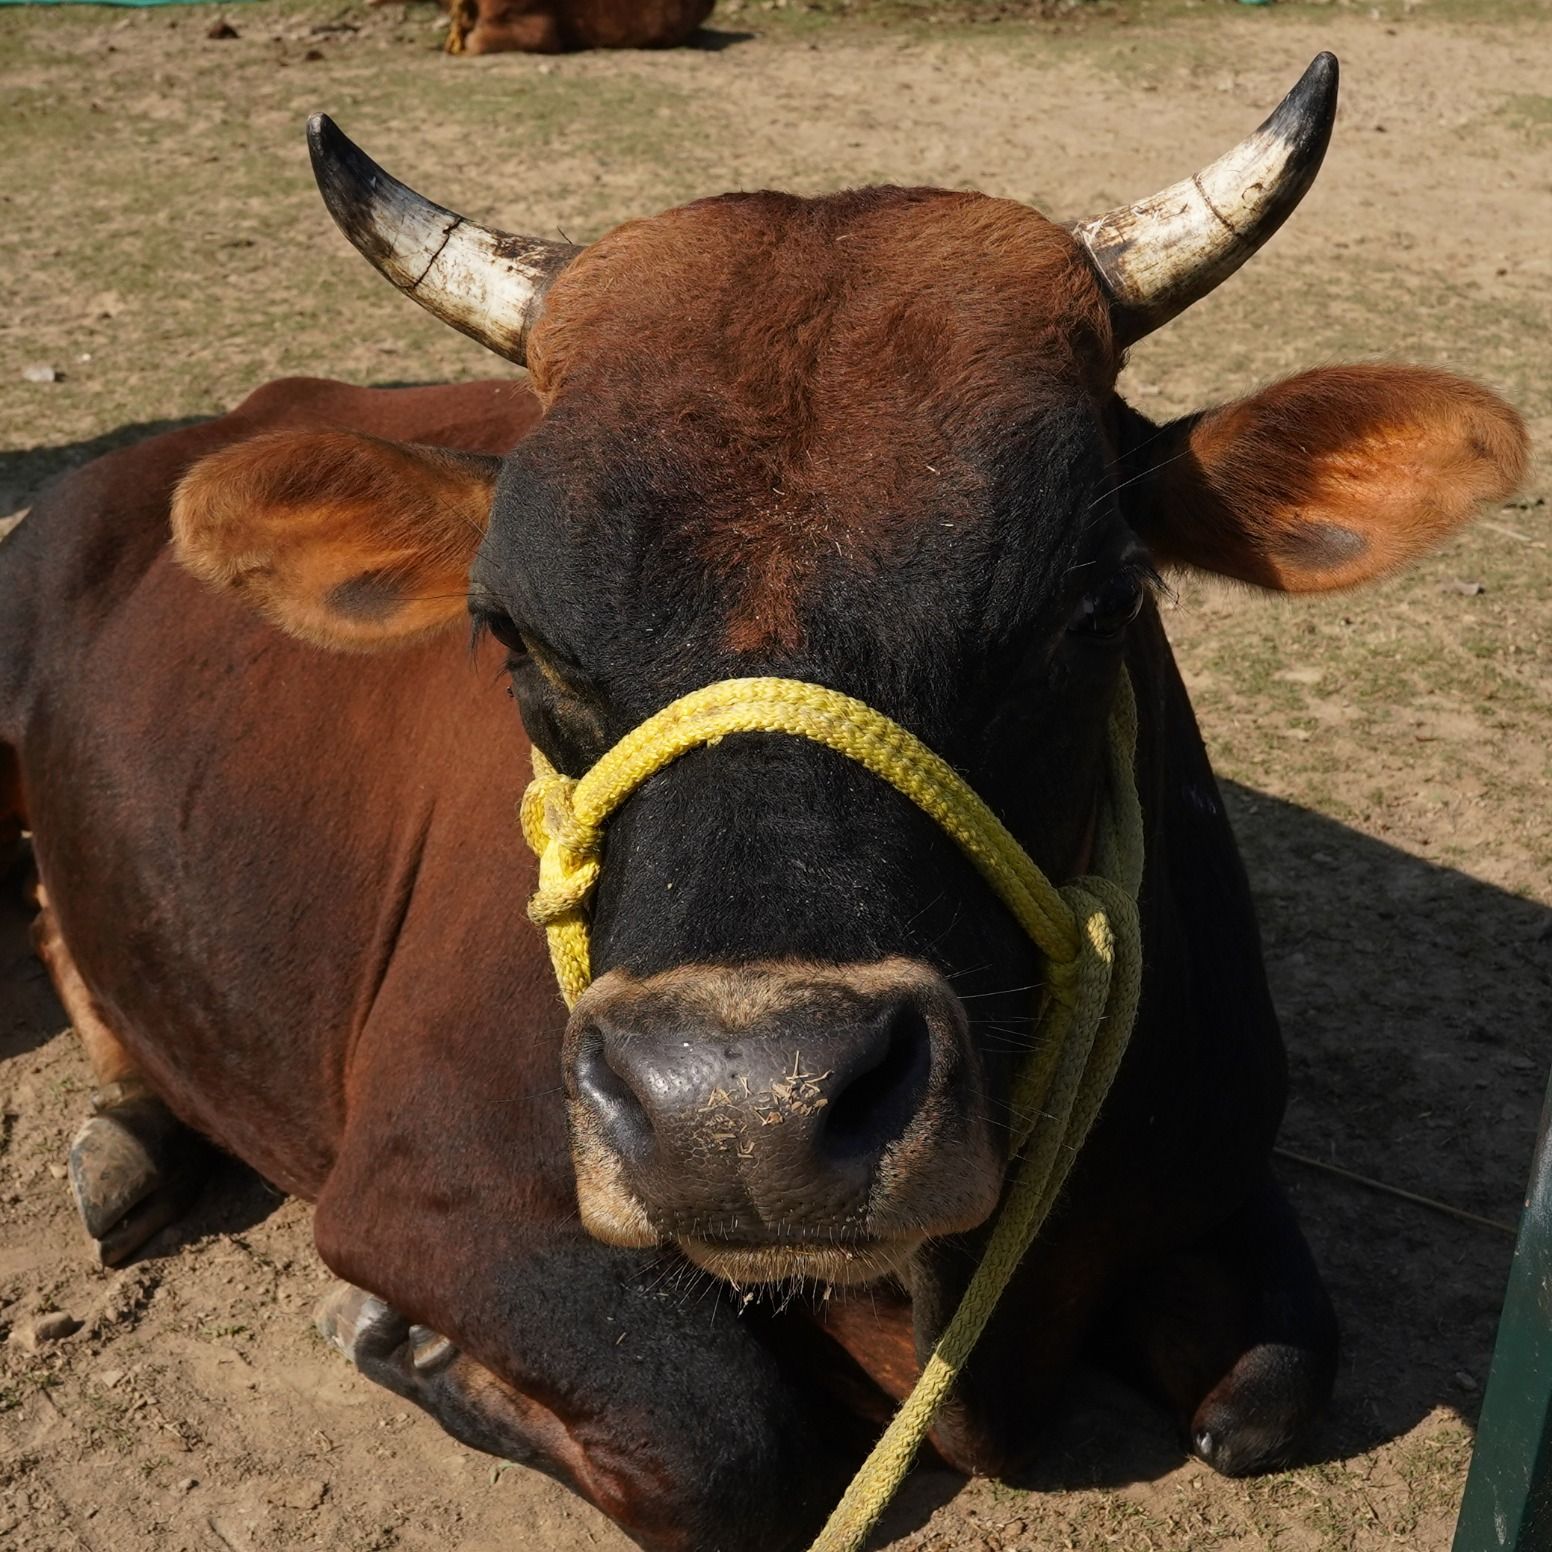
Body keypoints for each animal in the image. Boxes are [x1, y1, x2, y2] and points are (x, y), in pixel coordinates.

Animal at [0, 52, 1526, 1552]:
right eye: (511, 633)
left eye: (1099, 605)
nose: (739, 1114)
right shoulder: (423, 1191)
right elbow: (726, 1451)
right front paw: (409, 1341)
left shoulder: (1221, 1148)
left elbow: (1267, 1395)